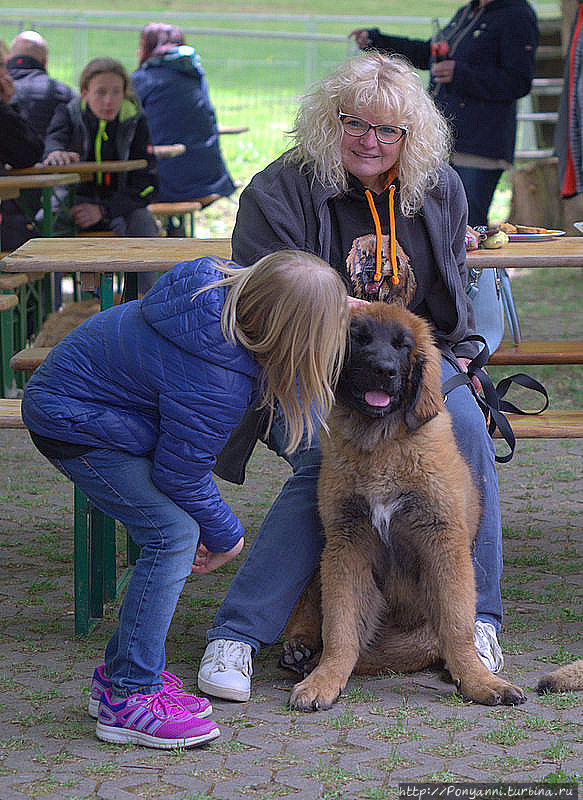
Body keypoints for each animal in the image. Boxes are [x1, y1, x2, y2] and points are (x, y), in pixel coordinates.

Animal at [282, 304, 528, 708]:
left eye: (402, 346)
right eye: (360, 339)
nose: (385, 370)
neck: (381, 444)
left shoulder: (443, 542)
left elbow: (457, 627)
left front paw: (478, 680)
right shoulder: (346, 544)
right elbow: (339, 626)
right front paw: (325, 679)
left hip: (416, 638)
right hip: (326, 557)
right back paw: (299, 646)